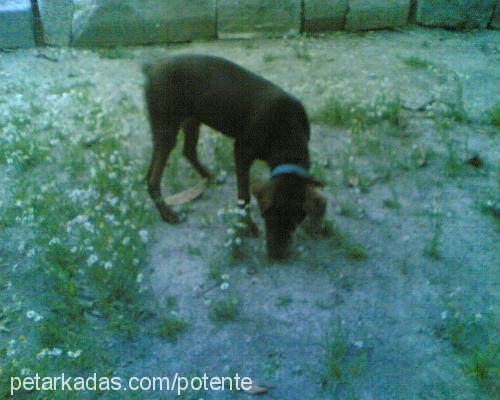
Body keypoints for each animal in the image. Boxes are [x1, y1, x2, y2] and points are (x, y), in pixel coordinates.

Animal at [145, 54, 324, 258]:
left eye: (296, 220)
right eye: (269, 214)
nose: (276, 256)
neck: (286, 129)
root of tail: (151, 68)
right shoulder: (241, 150)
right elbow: (244, 196)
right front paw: (248, 226)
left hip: (190, 120)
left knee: (185, 152)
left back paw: (208, 177)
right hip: (168, 127)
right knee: (154, 178)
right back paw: (167, 213)